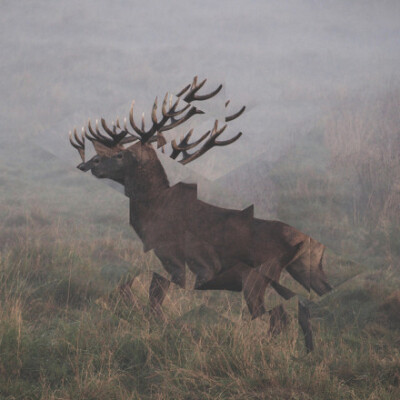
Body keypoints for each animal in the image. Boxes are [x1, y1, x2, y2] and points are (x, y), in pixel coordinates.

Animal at [68, 76, 332, 352]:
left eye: (120, 154)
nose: (89, 164)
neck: (153, 211)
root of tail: (307, 240)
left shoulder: (175, 255)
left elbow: (155, 300)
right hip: (305, 269)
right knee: (306, 304)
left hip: (257, 276)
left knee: (278, 316)